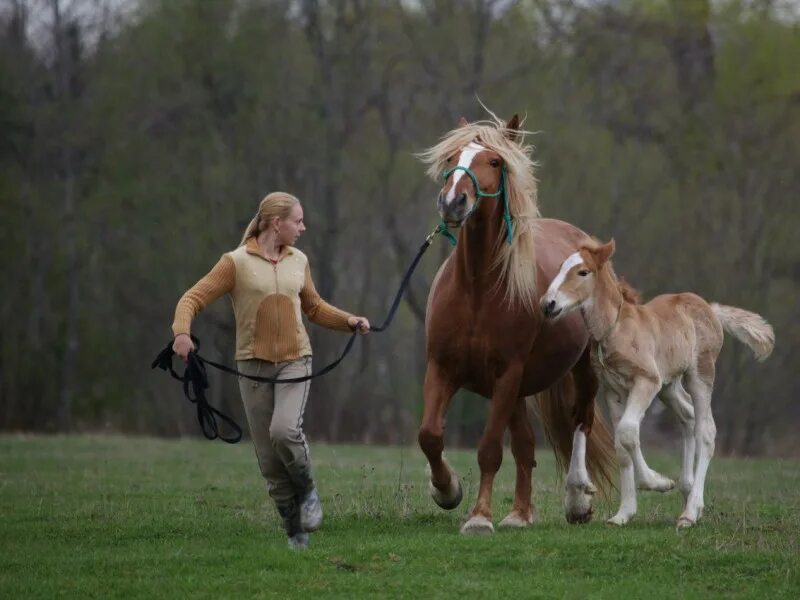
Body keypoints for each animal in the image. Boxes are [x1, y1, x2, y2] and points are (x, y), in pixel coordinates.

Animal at [540, 241, 772, 528]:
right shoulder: (613, 391)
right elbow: (621, 446)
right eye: (561, 267)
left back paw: (690, 512)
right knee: (688, 417)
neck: (615, 329)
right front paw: (623, 513)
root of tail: (710, 307)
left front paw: (658, 482)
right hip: (669, 386)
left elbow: (628, 432)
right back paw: (687, 490)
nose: (548, 304)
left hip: (699, 374)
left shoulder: (646, 381)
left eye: (583, 272)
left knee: (706, 431)